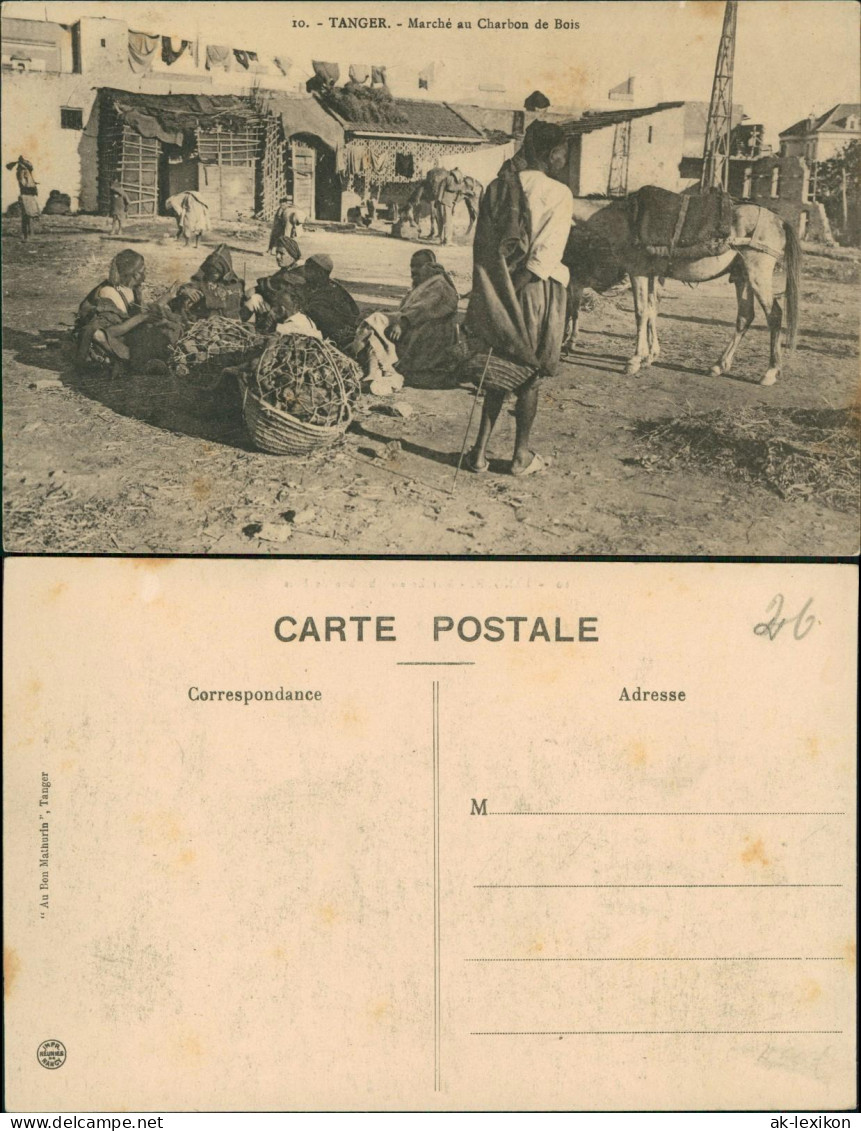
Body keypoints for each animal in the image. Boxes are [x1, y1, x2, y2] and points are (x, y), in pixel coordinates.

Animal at [563, 192, 801, 386]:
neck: (623, 220)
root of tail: (779, 220)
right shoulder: (651, 274)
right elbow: (651, 311)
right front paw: (649, 356)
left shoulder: (638, 271)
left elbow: (641, 313)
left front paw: (634, 360)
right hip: (742, 275)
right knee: (745, 316)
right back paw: (719, 365)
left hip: (758, 273)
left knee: (774, 315)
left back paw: (770, 372)